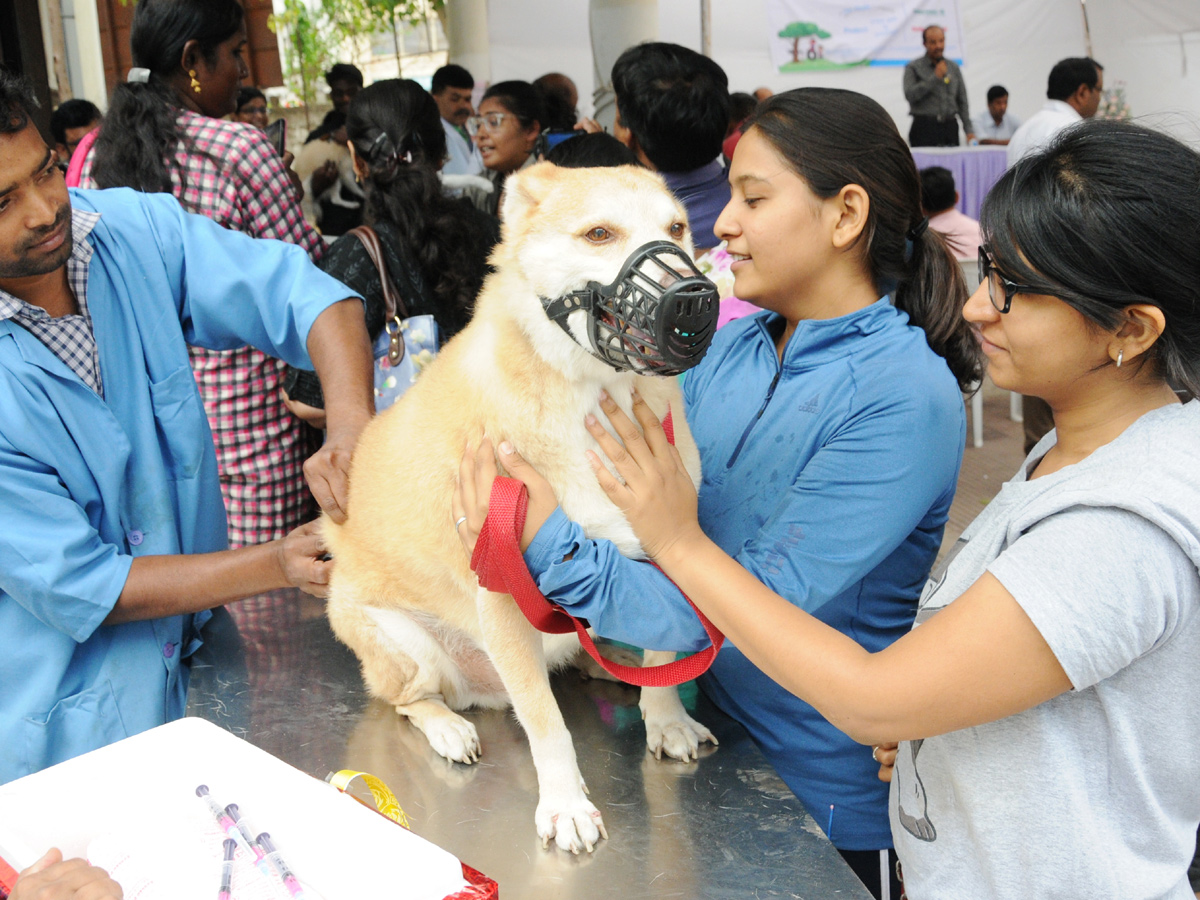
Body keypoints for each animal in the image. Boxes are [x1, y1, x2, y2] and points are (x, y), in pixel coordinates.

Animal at [324, 160, 715, 854]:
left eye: (676, 228)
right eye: (599, 233)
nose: (695, 295)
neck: (593, 399)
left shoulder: (666, 546)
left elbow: (665, 654)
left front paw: (665, 718)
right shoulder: (502, 589)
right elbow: (546, 722)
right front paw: (564, 803)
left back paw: (613, 668)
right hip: (407, 649)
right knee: (408, 701)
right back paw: (449, 727)